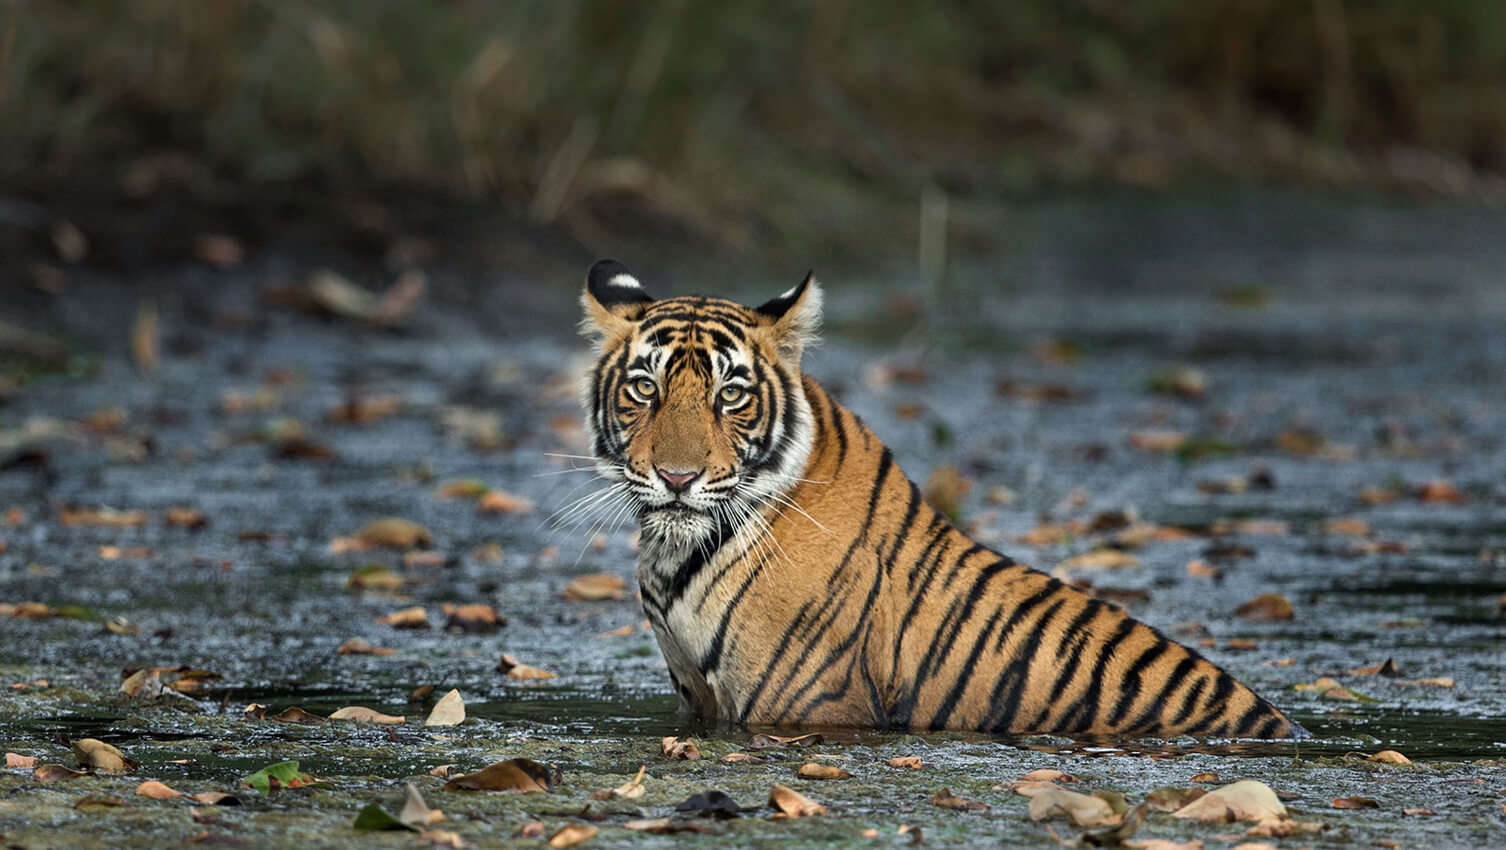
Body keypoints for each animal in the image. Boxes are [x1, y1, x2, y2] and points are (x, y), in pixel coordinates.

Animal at [575, 257, 1307, 738]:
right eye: (645, 388)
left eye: (730, 395)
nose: (676, 477)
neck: (672, 556)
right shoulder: (696, 697)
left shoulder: (807, 706)